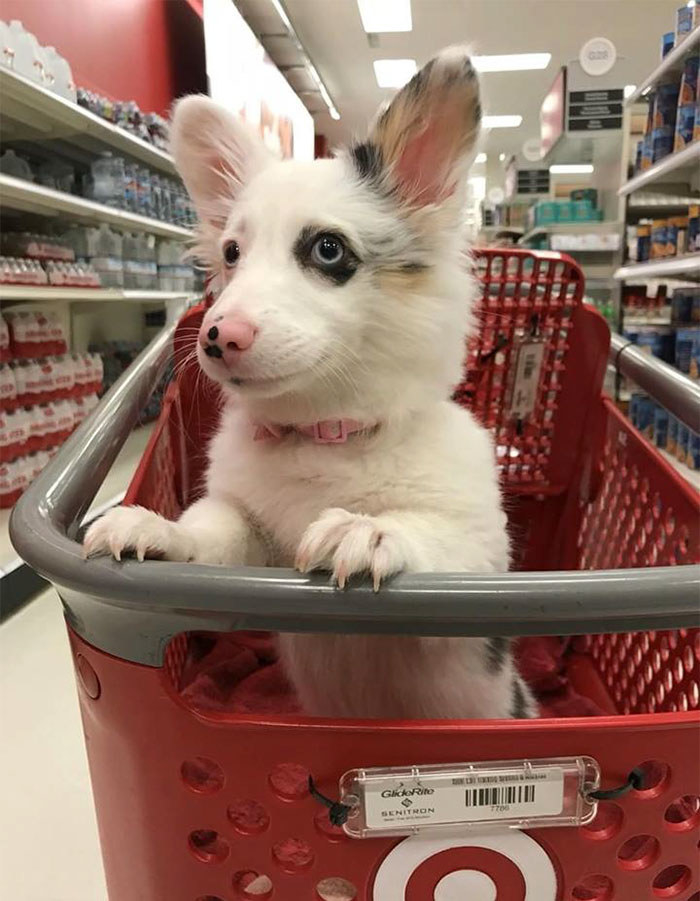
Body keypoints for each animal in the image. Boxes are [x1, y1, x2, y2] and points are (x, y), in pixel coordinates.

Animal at [85, 51, 532, 724]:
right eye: (232, 253)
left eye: (328, 249)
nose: (217, 337)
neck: (324, 436)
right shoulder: (246, 531)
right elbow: (212, 533)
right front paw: (159, 532)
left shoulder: (482, 574)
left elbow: (433, 536)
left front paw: (369, 529)